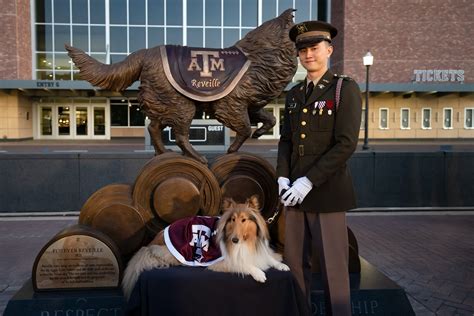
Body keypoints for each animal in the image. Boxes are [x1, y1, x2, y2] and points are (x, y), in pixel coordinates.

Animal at [122, 195, 288, 298]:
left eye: (244, 220)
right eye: (232, 219)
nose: (234, 240)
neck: (246, 241)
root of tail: (155, 239)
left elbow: (267, 257)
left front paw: (280, 265)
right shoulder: (224, 261)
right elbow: (244, 264)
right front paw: (259, 273)